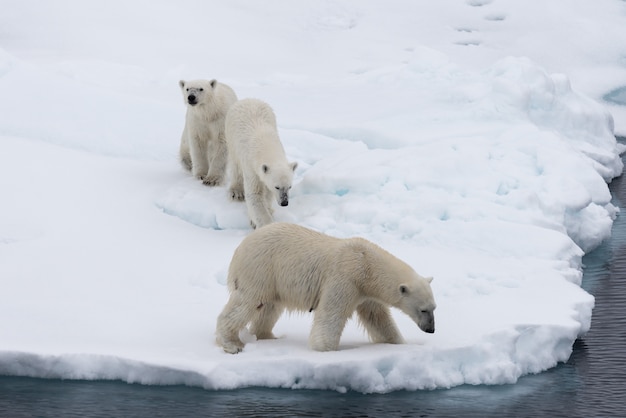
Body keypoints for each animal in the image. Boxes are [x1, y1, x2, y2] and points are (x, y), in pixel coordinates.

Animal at [214, 222, 434, 352]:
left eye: (434, 308)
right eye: (423, 309)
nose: (431, 329)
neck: (366, 264)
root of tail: (240, 247)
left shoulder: (366, 291)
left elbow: (378, 318)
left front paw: (399, 343)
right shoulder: (345, 278)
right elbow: (331, 314)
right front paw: (325, 350)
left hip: (274, 280)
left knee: (269, 307)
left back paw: (268, 336)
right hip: (260, 269)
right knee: (247, 302)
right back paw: (232, 344)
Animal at [224, 98, 298, 229]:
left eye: (290, 186)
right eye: (277, 186)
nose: (284, 202)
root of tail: (248, 99)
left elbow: (267, 193)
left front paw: (269, 210)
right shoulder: (250, 166)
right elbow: (254, 194)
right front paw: (262, 223)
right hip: (231, 138)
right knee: (235, 166)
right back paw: (236, 192)